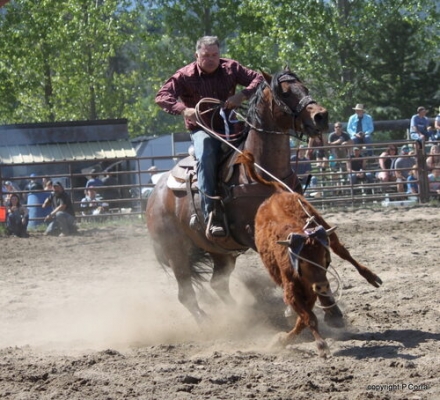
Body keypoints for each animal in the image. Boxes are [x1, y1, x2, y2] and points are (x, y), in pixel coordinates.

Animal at [146, 68, 328, 324]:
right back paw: (212, 324)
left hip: (220, 251)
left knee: (217, 284)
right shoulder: (251, 232)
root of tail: (154, 195)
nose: (321, 116)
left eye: (305, 88)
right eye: (284, 92)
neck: (263, 172)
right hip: (176, 251)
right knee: (186, 294)